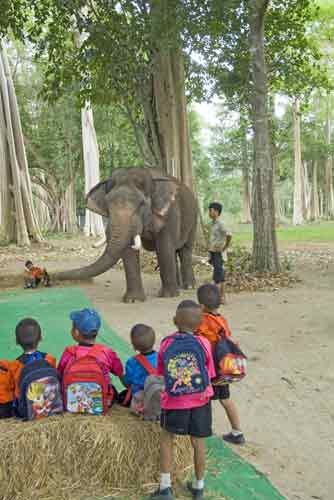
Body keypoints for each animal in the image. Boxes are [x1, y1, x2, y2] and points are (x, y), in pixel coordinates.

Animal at [53, 166, 197, 302]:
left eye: (141, 204)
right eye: (107, 203)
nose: (52, 276)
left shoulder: (169, 213)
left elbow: (164, 247)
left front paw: (168, 296)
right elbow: (128, 251)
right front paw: (133, 300)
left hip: (194, 220)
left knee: (184, 251)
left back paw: (188, 286)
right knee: (175, 251)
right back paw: (179, 286)